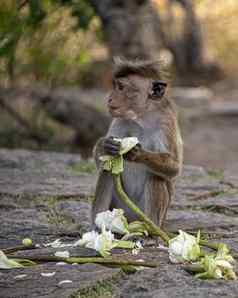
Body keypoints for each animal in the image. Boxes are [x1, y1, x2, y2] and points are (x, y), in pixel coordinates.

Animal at [91, 59, 182, 229]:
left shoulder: (166, 122)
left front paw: (138, 153)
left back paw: (151, 230)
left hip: (147, 215)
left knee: (156, 177)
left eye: (121, 87)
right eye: (116, 86)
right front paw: (106, 145)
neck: (142, 117)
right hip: (119, 208)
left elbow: (174, 167)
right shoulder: (120, 120)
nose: (109, 98)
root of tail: (132, 220)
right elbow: (101, 160)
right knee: (107, 171)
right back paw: (98, 227)